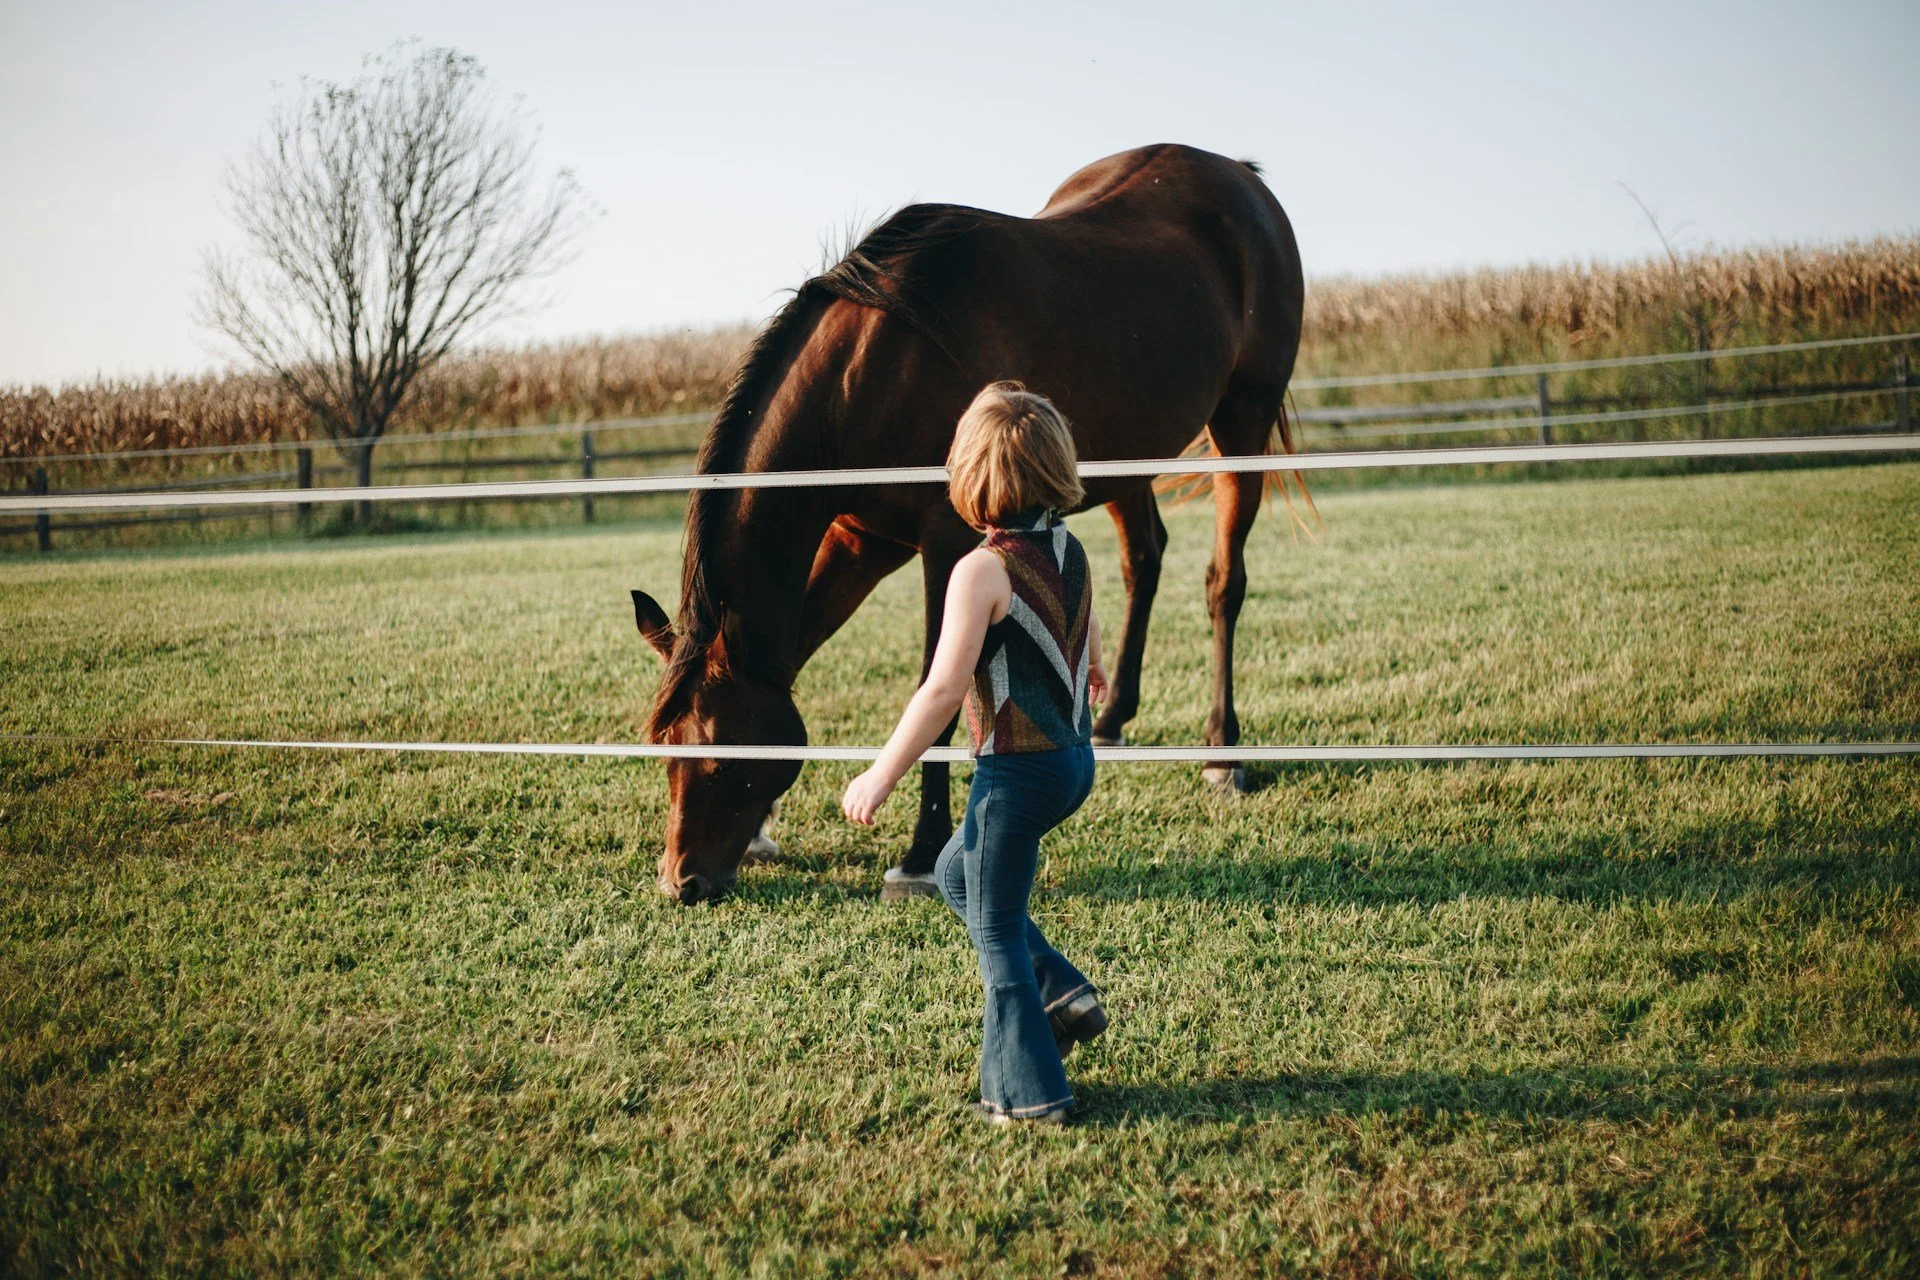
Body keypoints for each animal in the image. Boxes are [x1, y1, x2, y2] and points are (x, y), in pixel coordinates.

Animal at [631, 143, 1304, 904]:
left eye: (721, 757)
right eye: (665, 747)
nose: (682, 880)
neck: (878, 367)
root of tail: (1241, 177)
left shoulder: (949, 547)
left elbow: (939, 693)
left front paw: (921, 855)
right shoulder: (859, 541)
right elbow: (798, 649)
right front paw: (766, 830)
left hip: (1242, 423)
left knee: (1224, 583)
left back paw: (1224, 752)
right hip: (1126, 459)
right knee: (1145, 559)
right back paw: (1110, 722)